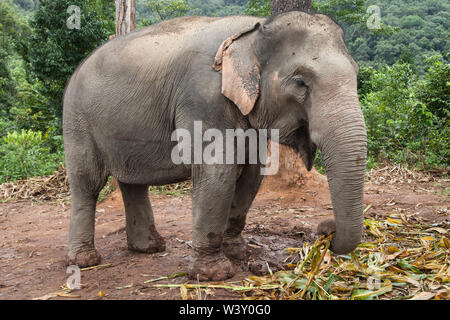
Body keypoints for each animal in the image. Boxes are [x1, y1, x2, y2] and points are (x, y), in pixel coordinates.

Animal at [62, 10, 366, 282]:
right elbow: (218, 173)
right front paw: (213, 274)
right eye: (301, 82)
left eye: (356, 73)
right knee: (87, 183)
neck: (254, 30)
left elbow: (252, 174)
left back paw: (149, 248)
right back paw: (85, 261)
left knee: (132, 182)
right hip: (77, 120)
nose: (325, 230)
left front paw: (238, 252)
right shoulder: (202, 98)